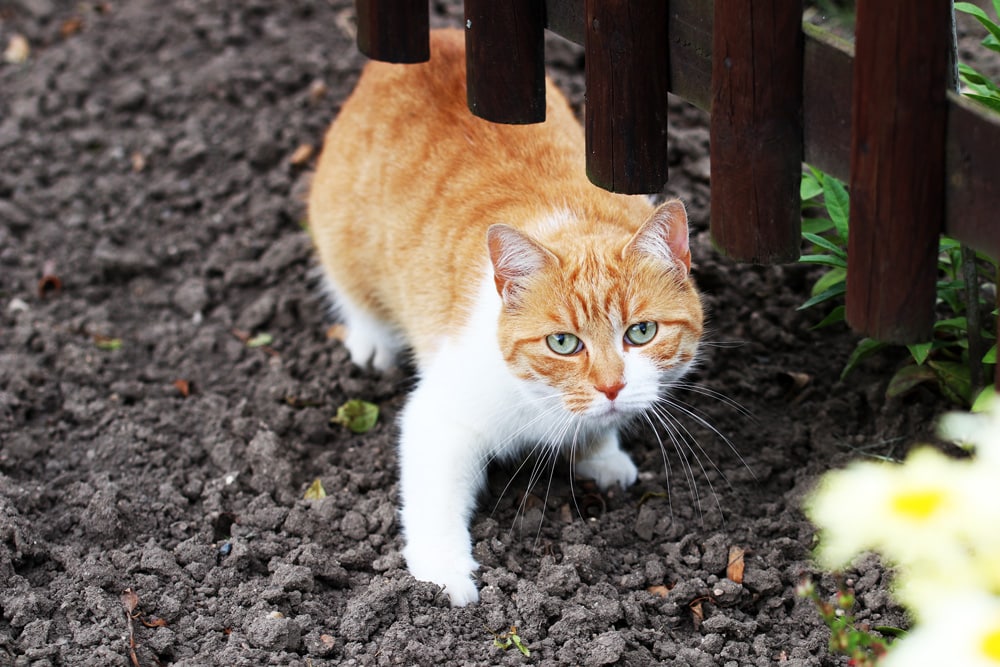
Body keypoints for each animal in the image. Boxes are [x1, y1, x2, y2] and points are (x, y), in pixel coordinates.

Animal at [306, 28, 704, 608]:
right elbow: (435, 502)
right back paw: (371, 338)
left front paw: (601, 453)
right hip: (341, 231)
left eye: (641, 332)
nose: (610, 387)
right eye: (563, 343)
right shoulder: (439, 418)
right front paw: (444, 577)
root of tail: (442, 36)